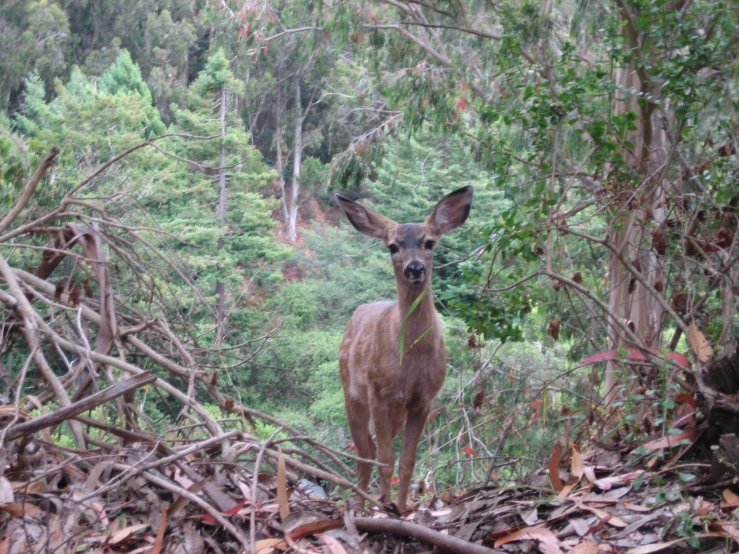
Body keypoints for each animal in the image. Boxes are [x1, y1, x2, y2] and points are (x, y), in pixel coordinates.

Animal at [336, 185, 474, 508]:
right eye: (392, 246)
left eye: (429, 242)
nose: (415, 268)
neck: (410, 359)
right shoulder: (378, 392)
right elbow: (386, 460)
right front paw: (384, 509)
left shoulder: (424, 399)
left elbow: (407, 462)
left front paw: (401, 508)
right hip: (352, 392)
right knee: (365, 455)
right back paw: (360, 505)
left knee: (371, 448)